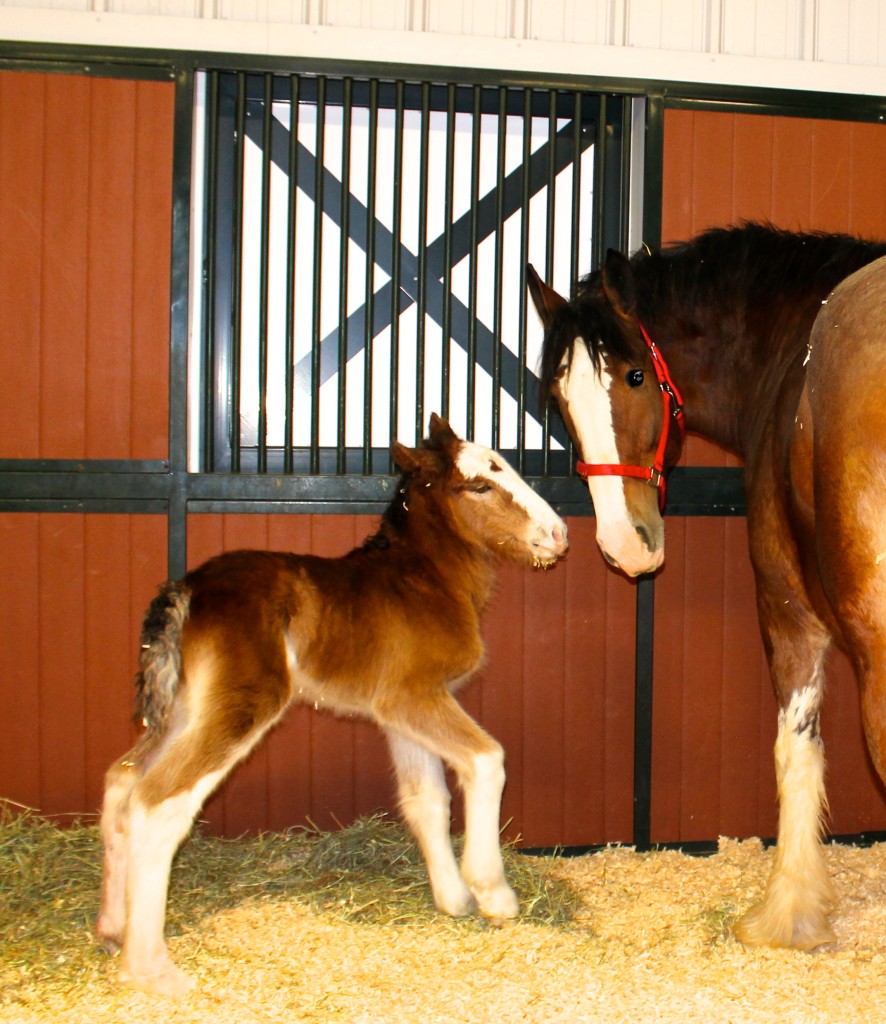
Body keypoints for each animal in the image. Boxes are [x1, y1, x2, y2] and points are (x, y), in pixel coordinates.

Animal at [95, 413, 565, 991]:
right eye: (479, 484)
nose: (559, 534)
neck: (422, 580)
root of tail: (187, 588)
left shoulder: (400, 714)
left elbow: (426, 800)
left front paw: (452, 900)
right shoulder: (415, 697)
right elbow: (486, 761)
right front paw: (492, 892)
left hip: (184, 710)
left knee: (121, 782)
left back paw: (112, 928)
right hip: (239, 709)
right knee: (158, 802)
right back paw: (150, 967)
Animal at [528, 224, 884, 950]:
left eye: (636, 375)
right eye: (559, 398)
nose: (624, 543)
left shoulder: (786, 607)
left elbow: (795, 752)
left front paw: (787, 913)